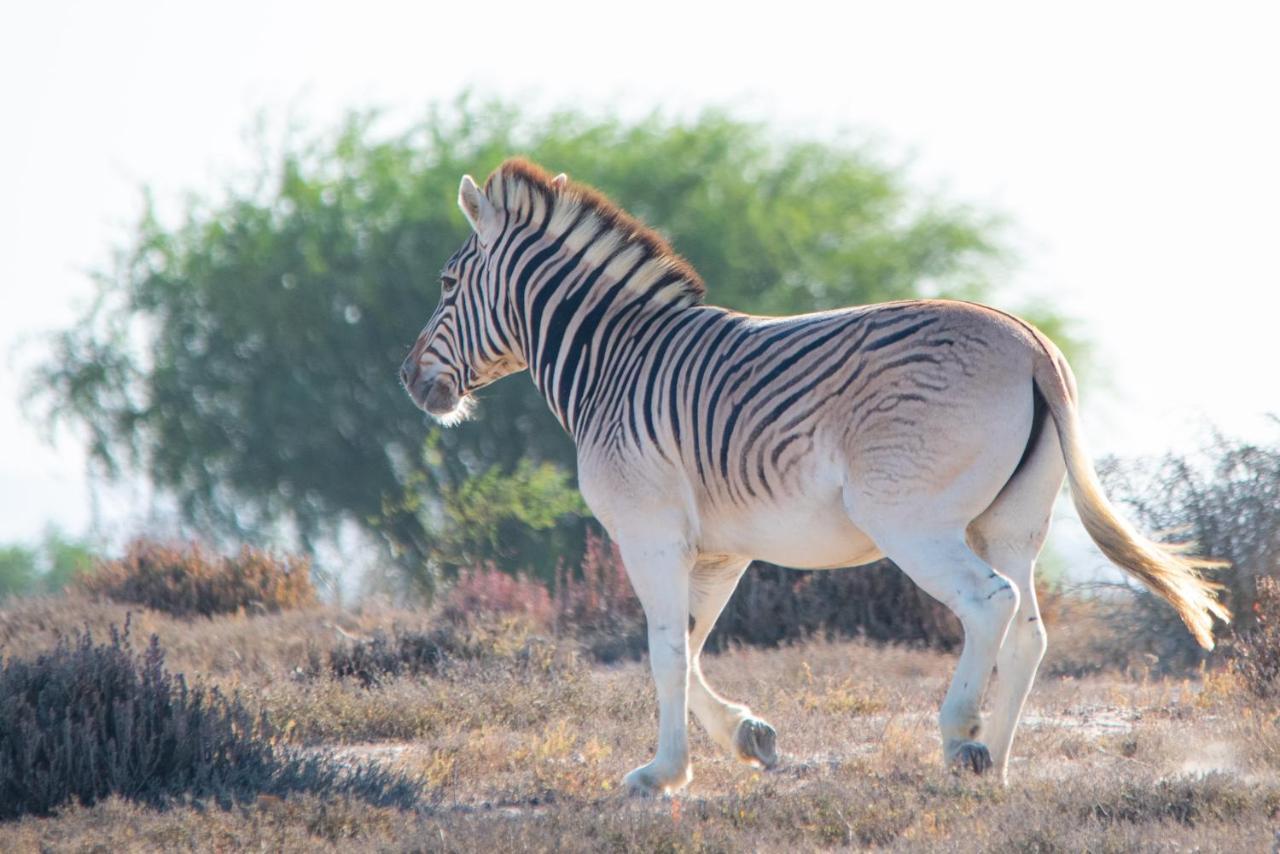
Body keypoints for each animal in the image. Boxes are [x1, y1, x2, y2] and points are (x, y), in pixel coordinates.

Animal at [401, 158, 1228, 793]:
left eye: (445, 284)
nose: (409, 381)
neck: (614, 364)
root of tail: (1032, 345)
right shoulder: (720, 548)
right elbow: (691, 647)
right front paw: (746, 738)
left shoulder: (649, 531)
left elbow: (664, 653)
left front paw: (663, 774)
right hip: (1010, 522)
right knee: (1027, 629)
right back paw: (989, 762)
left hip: (910, 519)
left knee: (987, 603)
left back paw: (958, 732)